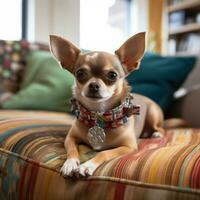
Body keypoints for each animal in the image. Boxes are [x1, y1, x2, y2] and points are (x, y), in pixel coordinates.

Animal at [48, 32, 164, 177]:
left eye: (112, 75)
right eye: (80, 73)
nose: (93, 85)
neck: (99, 115)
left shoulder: (128, 147)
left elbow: (104, 152)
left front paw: (87, 165)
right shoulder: (70, 138)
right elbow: (72, 150)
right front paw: (70, 163)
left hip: (153, 115)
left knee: (160, 128)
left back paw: (156, 134)